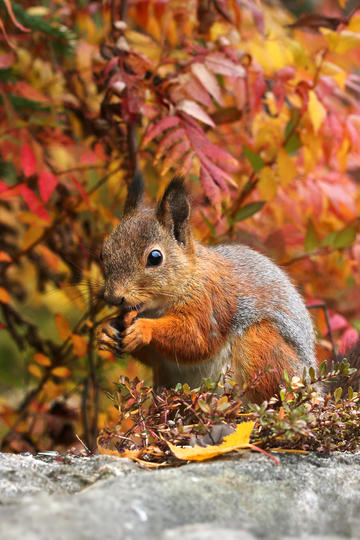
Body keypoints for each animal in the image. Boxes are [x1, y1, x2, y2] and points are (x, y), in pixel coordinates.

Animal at [96, 173, 354, 400]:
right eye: (102, 252)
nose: (114, 297)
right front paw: (107, 331)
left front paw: (143, 329)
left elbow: (196, 339)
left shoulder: (210, 301)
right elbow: (155, 355)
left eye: (155, 257)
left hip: (262, 346)